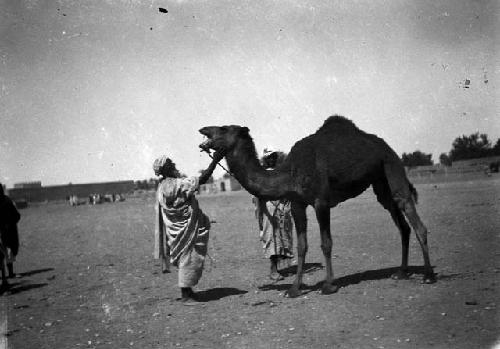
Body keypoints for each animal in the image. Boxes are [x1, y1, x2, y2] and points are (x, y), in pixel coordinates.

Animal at [199, 114, 438, 296]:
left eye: (223, 128)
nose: (202, 129)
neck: (290, 172)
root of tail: (388, 147)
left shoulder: (321, 201)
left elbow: (326, 243)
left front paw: (329, 285)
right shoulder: (297, 204)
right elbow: (302, 246)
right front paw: (294, 289)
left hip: (391, 165)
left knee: (413, 217)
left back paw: (428, 275)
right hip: (380, 183)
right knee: (402, 224)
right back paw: (401, 272)